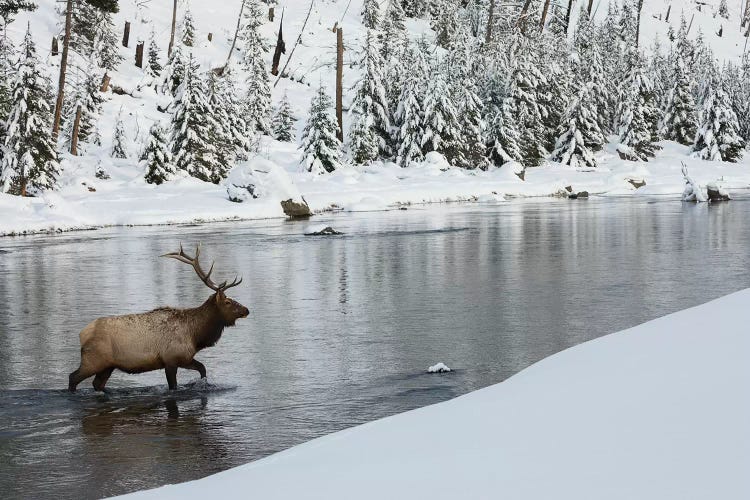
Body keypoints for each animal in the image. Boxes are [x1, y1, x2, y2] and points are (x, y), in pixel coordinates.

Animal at [68, 244, 250, 392]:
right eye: (227, 302)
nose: (246, 310)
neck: (195, 336)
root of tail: (82, 334)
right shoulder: (171, 359)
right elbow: (173, 386)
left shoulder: (184, 357)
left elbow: (203, 369)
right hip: (93, 360)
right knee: (73, 378)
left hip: (107, 366)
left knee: (97, 384)